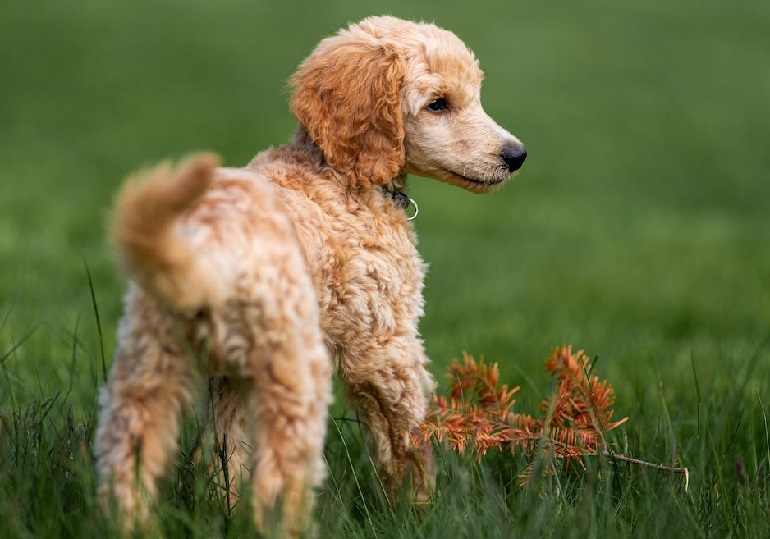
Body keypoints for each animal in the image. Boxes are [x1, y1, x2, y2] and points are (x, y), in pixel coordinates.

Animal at [94, 14, 520, 536]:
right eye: (438, 104)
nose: (517, 155)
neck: (337, 172)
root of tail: (206, 247)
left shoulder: (232, 376)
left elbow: (226, 448)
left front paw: (222, 506)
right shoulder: (384, 345)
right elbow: (406, 437)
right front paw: (420, 512)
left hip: (148, 361)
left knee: (128, 455)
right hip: (296, 367)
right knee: (282, 477)